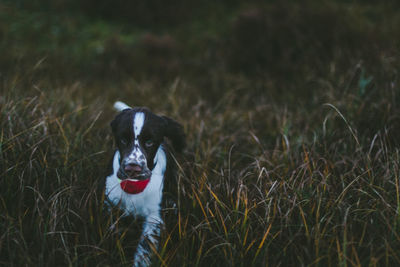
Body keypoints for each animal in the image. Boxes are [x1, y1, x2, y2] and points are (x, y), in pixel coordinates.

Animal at [103, 101, 184, 266]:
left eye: (149, 142)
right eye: (123, 140)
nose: (132, 168)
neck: (134, 186)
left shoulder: (154, 217)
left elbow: (145, 247)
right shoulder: (111, 205)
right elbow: (113, 235)